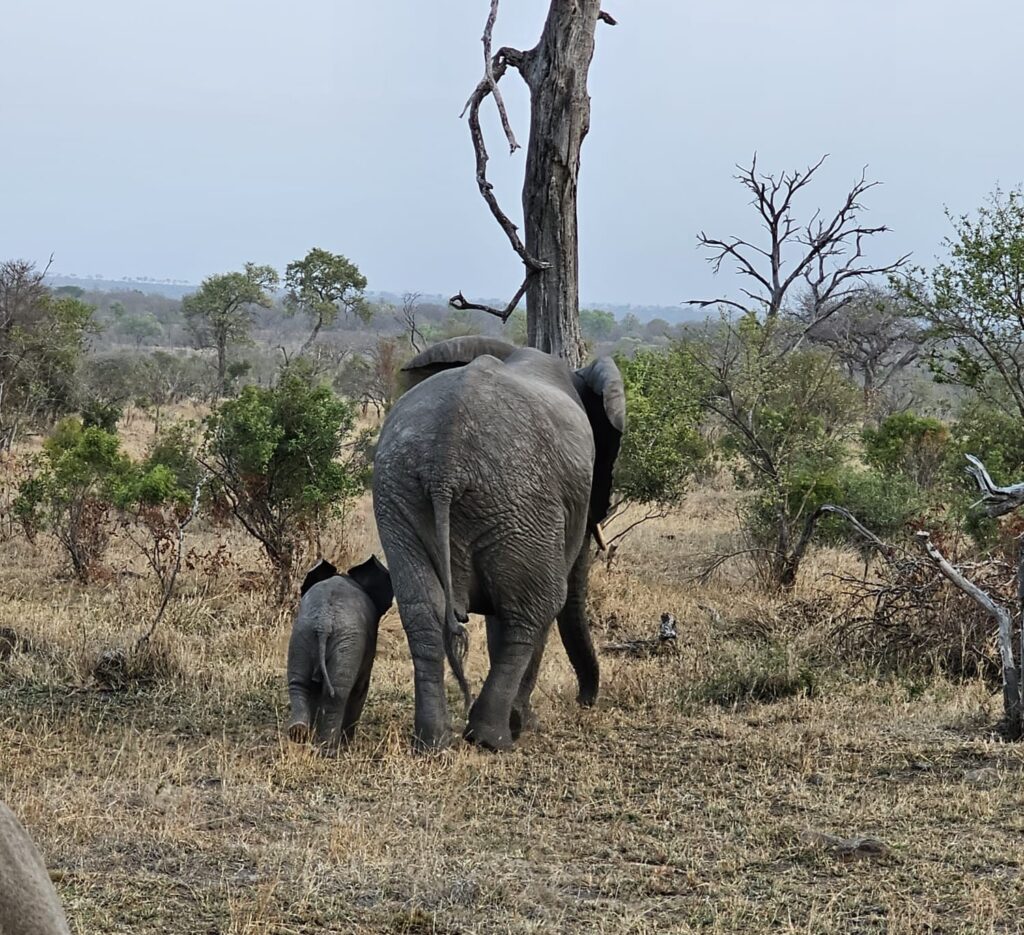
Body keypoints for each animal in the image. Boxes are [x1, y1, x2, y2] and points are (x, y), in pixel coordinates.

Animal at [286, 555, 393, 750]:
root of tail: (324, 622)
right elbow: (360, 689)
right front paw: (347, 744)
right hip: (346, 641)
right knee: (337, 693)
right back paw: (328, 749)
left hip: (302, 634)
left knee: (299, 683)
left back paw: (299, 732)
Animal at [372, 336, 626, 751]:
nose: (585, 701)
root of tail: (446, 461)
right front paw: (525, 724)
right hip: (521, 497)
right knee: (537, 606)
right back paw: (494, 738)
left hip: (401, 492)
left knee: (422, 608)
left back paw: (434, 740)